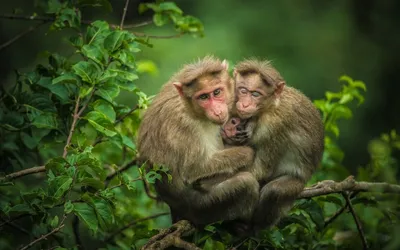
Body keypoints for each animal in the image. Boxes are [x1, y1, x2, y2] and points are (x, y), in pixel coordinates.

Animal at [136, 56, 260, 227]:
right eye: (203, 97)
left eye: (217, 92)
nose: (217, 111)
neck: (191, 109)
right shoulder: (184, 124)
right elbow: (193, 169)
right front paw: (247, 152)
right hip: (204, 207)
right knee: (245, 183)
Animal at [222, 59, 324, 231]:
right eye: (243, 90)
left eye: (256, 94)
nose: (244, 104)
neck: (267, 109)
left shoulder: (274, 126)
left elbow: (259, 170)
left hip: (296, 183)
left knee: (274, 190)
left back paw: (250, 227)